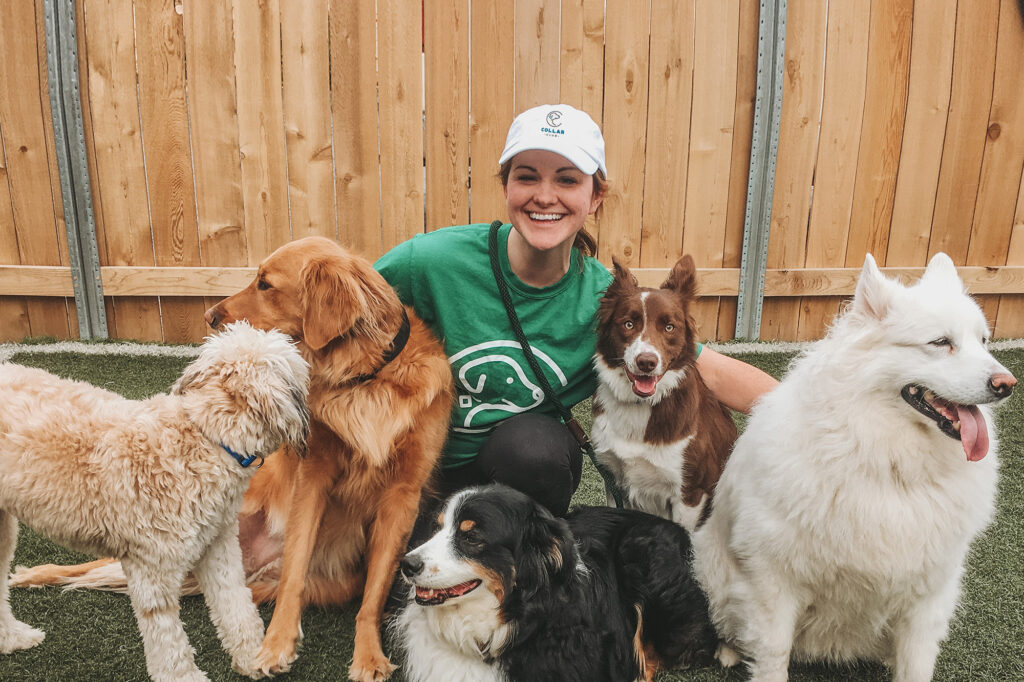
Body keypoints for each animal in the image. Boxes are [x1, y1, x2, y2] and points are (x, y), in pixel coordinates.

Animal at [0, 323, 307, 679]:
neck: (206, 437)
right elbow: (170, 646)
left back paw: (14, 638)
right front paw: (189, 676)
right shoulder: (152, 571)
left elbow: (236, 605)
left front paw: (253, 660)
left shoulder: (218, 547)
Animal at [692, 251, 1011, 675]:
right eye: (941, 342)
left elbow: (916, 665)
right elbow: (773, 653)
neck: (890, 461)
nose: (1007, 384)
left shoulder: (927, 600)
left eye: (984, 342)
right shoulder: (773, 581)